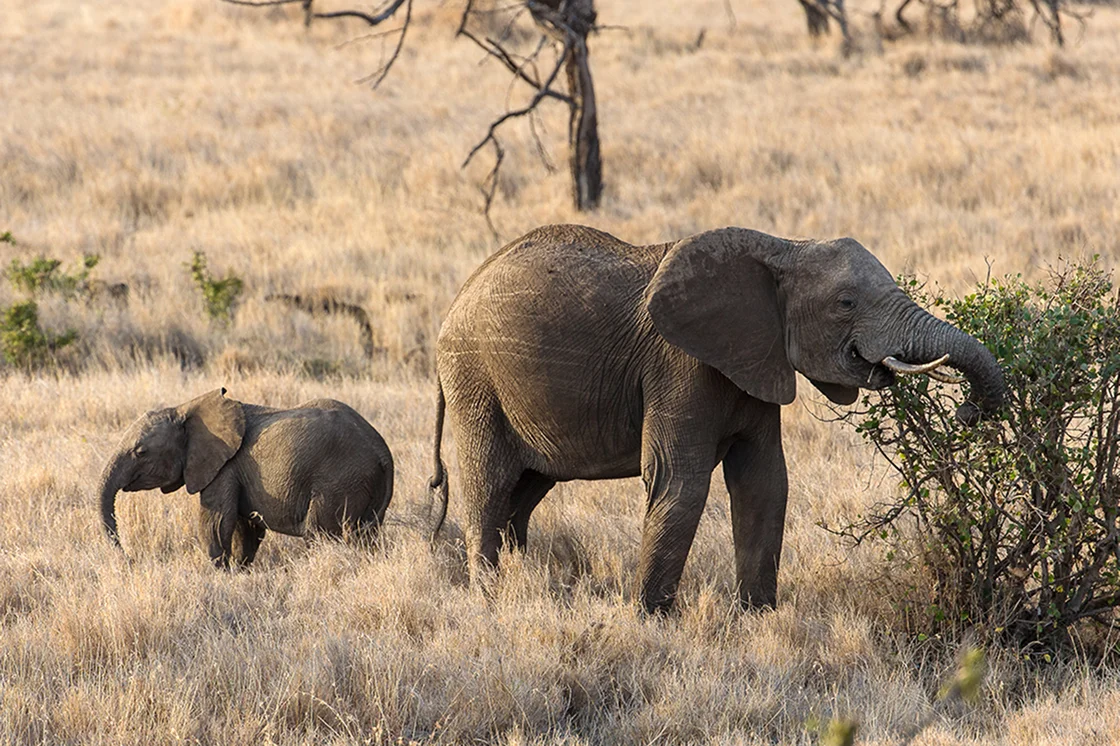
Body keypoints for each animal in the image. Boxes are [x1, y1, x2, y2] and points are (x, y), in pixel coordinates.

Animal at [99, 388, 394, 567]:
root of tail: (383, 453)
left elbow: (216, 523)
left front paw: (218, 573)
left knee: (320, 534)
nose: (129, 558)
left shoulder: (224, 468)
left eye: (140, 452)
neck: (186, 408)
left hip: (340, 481)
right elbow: (246, 529)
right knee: (366, 536)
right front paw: (239, 571)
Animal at [428, 224, 1005, 613]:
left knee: (524, 491)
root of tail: (453, 304)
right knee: (490, 485)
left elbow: (766, 484)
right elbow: (679, 483)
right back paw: (490, 599)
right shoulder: (680, 364)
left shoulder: (755, 358)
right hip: (475, 380)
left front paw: (758, 618)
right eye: (845, 302)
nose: (968, 411)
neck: (783, 246)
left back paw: (521, 584)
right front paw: (650, 620)